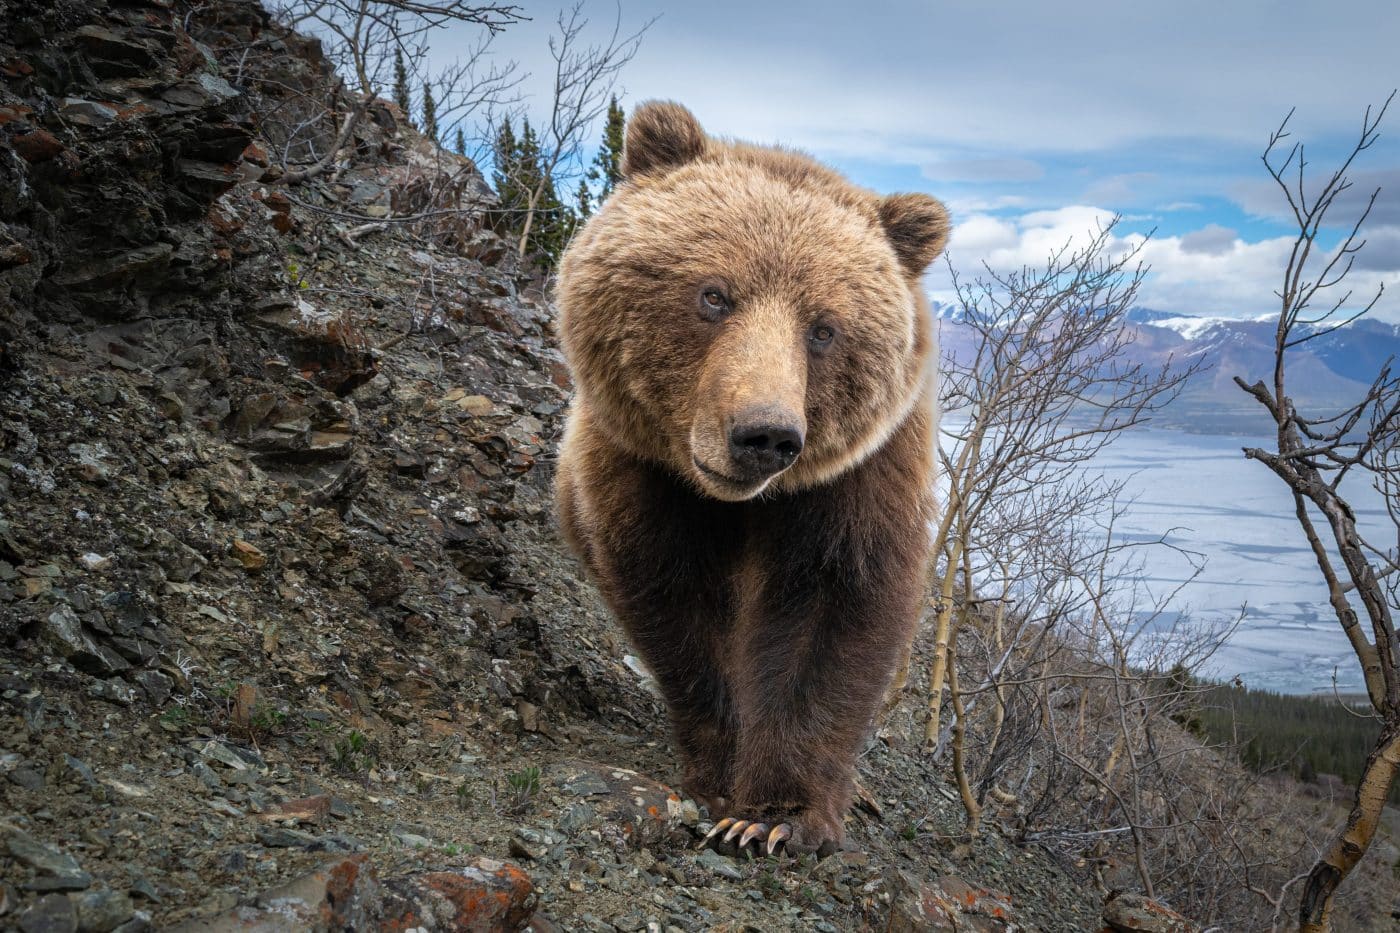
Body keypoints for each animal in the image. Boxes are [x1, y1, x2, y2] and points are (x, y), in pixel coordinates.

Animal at [553, 101, 947, 857]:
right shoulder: (643, 478)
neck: (737, 504)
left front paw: (774, 815)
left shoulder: (851, 488)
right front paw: (719, 774)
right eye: (714, 294)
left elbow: (826, 617)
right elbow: (679, 611)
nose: (765, 435)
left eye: (824, 328)